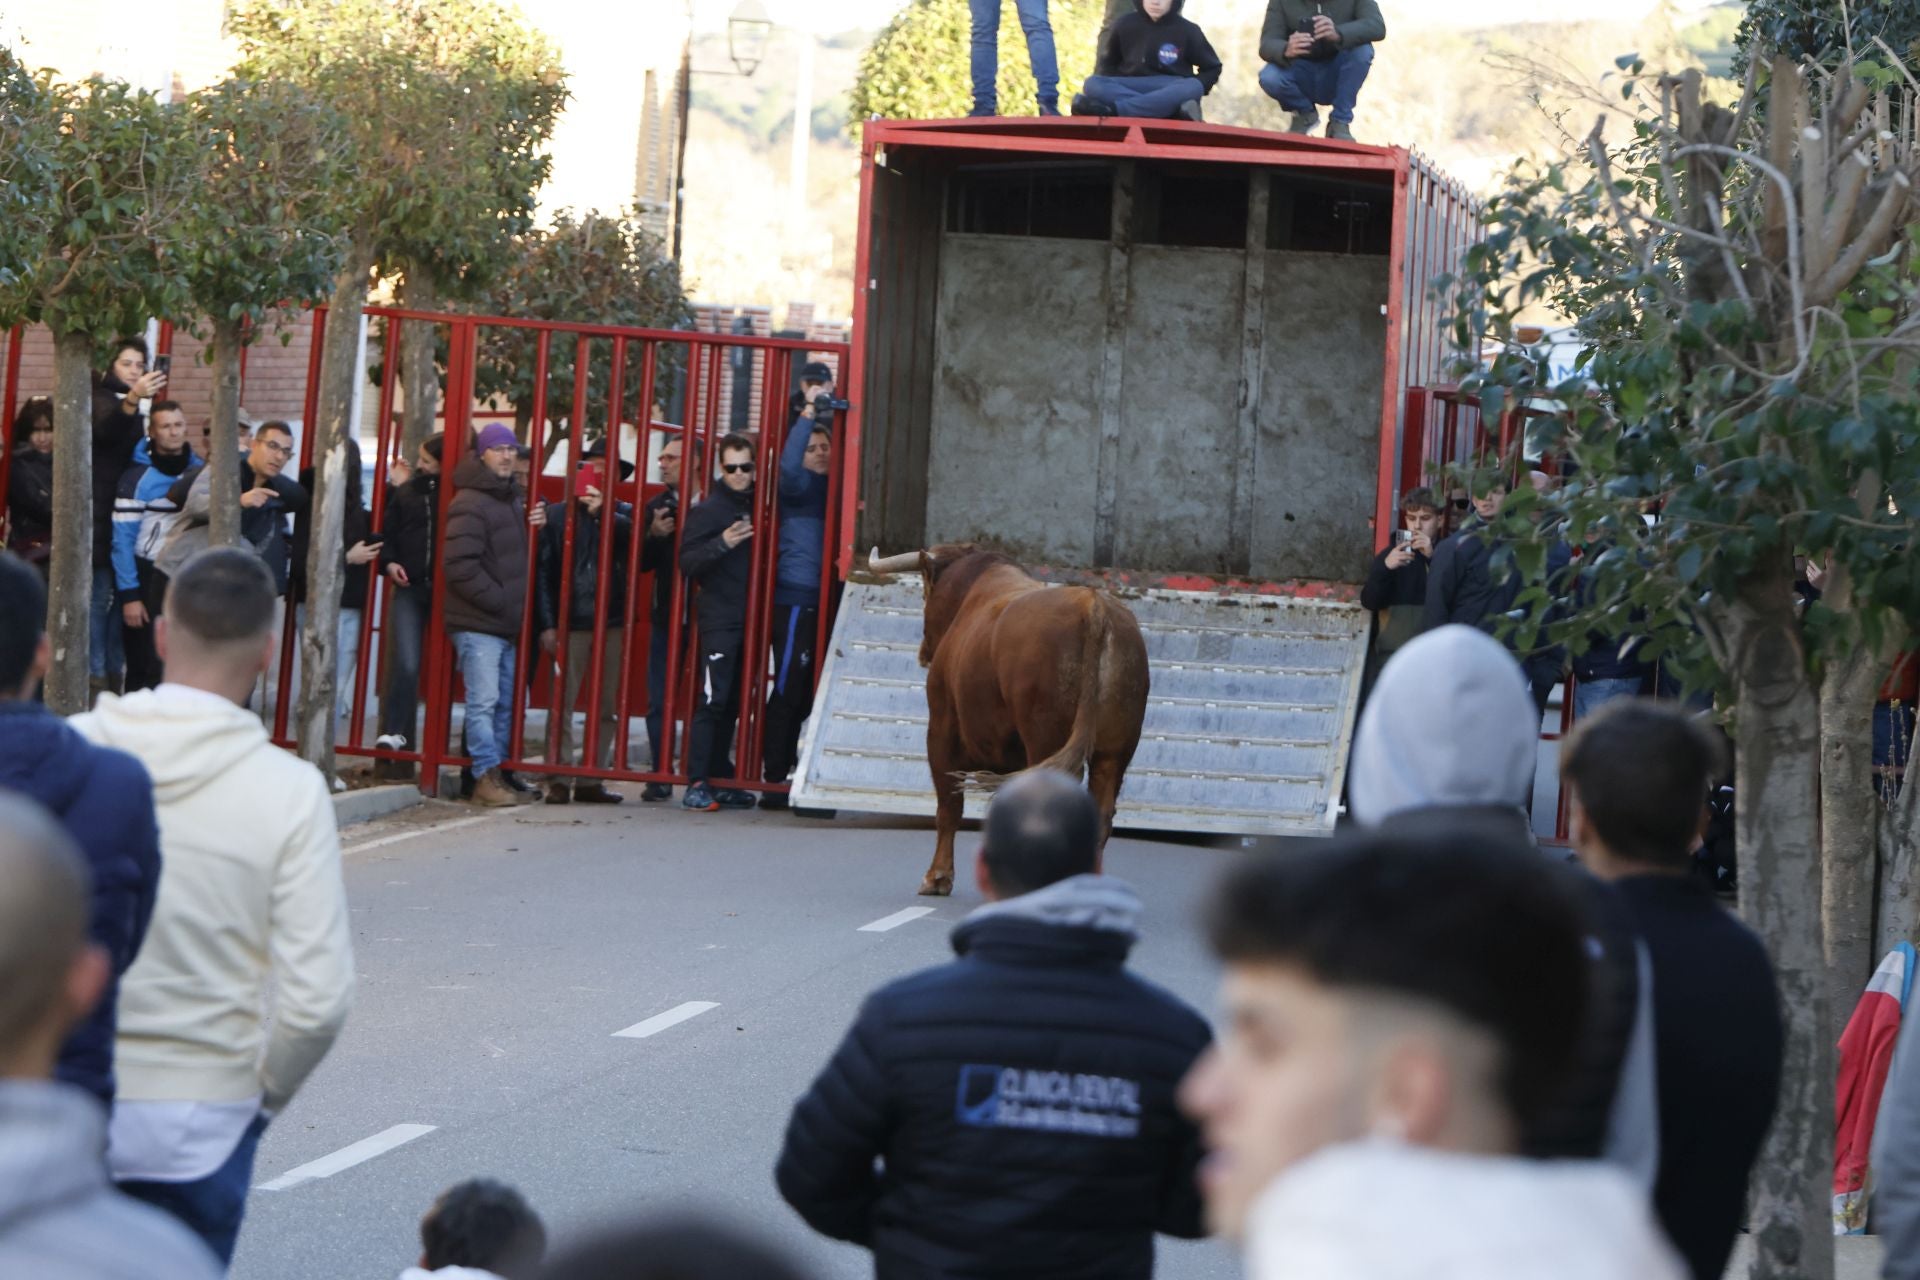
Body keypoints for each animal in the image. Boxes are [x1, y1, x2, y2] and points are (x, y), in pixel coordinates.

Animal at [871, 545, 1152, 898]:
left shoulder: (940, 730)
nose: (924, 652)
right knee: (1101, 811)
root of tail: (1093, 607)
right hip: (1115, 750)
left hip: (1044, 738)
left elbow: (949, 807)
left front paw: (937, 878)